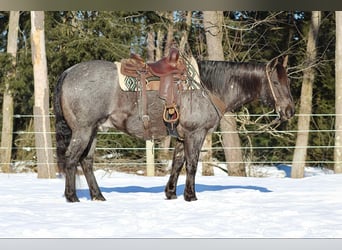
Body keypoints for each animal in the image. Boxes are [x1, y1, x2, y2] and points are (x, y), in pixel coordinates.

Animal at [53, 53, 294, 202]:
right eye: (276, 82)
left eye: (288, 81)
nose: (289, 110)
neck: (207, 87)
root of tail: (68, 72)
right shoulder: (195, 134)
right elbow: (192, 165)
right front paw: (191, 196)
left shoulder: (180, 136)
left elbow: (177, 164)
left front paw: (171, 193)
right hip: (83, 130)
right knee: (72, 158)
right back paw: (72, 197)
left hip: (94, 130)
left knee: (86, 161)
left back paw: (98, 196)